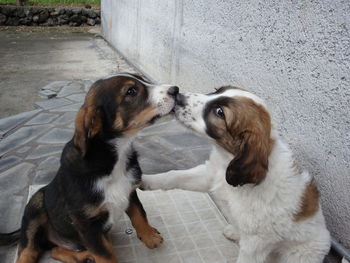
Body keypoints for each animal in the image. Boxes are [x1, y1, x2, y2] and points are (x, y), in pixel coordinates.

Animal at [0, 73, 179, 263]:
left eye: (142, 78)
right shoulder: (87, 224)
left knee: (54, 250)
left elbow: (139, 214)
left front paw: (149, 236)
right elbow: (105, 254)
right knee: (29, 250)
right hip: (35, 206)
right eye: (131, 91)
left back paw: (83, 256)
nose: (176, 90)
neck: (115, 158)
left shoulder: (129, 191)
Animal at [142, 87, 330, 263]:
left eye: (219, 112)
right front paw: (143, 179)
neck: (228, 159)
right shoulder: (210, 175)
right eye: (217, 91)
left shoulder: (255, 242)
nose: (178, 96)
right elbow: (174, 176)